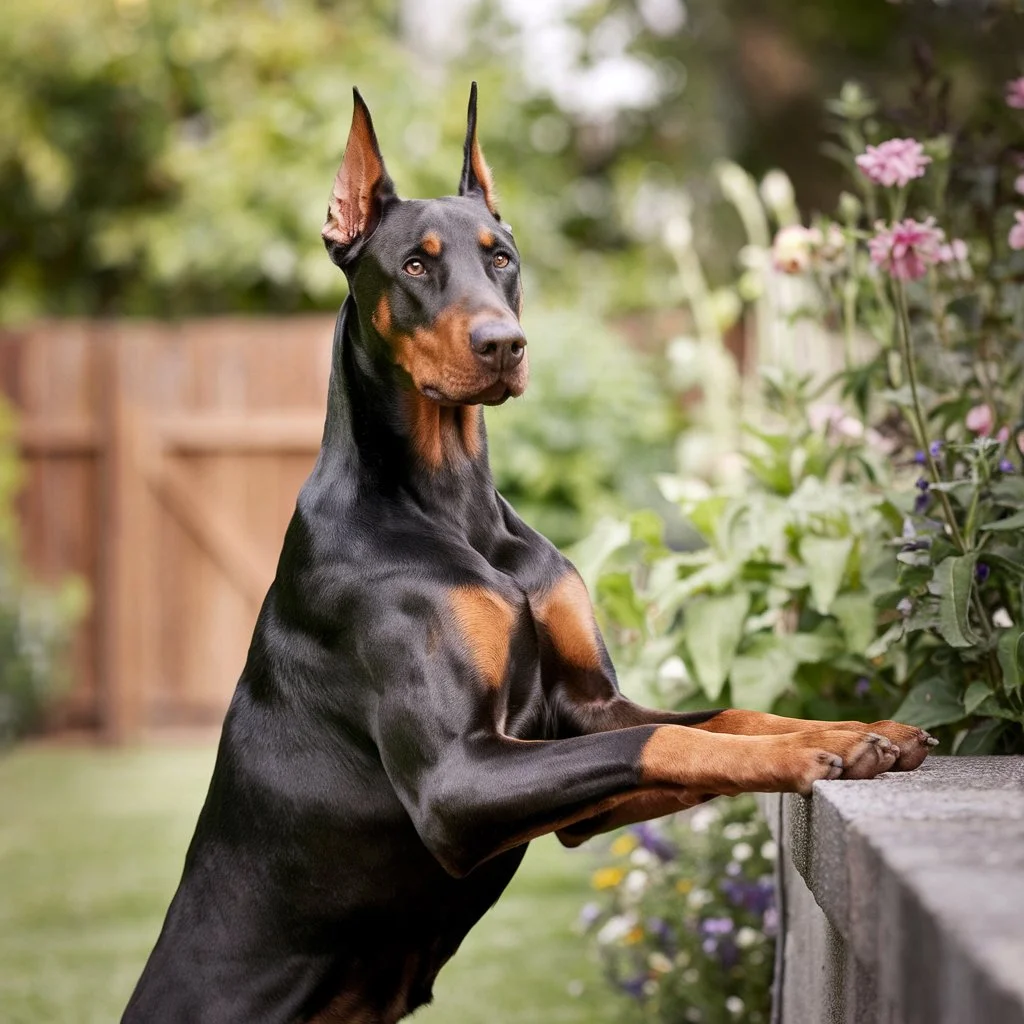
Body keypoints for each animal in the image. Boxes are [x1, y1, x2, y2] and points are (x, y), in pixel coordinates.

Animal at [121, 86, 937, 1024]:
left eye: (501, 257)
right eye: (415, 266)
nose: (503, 344)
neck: (454, 505)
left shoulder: (587, 712)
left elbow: (718, 720)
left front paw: (860, 731)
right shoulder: (458, 779)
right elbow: (663, 739)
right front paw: (812, 754)